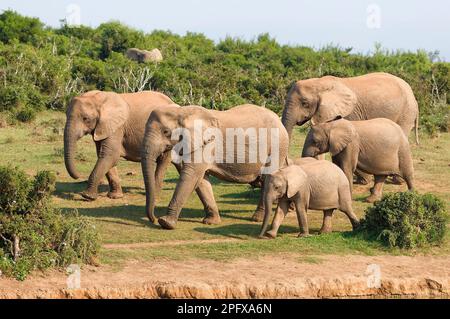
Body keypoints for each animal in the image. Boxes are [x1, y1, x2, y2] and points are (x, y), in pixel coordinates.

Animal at [142, 104, 288, 229]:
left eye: (166, 132)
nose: (153, 219)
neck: (182, 111)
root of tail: (279, 120)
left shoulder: (206, 144)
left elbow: (190, 175)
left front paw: (165, 223)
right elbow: (201, 180)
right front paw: (211, 222)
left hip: (277, 147)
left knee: (268, 177)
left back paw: (256, 219)